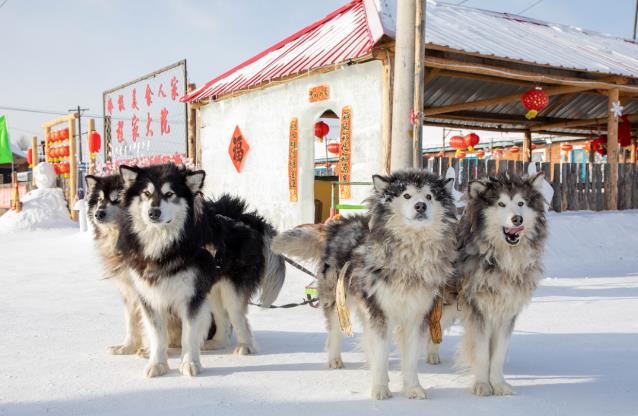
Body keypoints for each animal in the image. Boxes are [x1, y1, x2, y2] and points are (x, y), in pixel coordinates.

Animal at [117, 163, 284, 376]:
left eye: (169, 194)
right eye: (146, 193)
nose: (154, 212)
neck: (164, 246)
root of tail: (245, 218)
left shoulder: (192, 297)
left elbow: (188, 334)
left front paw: (190, 363)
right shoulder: (150, 296)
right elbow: (157, 335)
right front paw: (157, 365)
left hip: (229, 290)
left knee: (238, 316)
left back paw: (246, 346)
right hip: (210, 288)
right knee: (222, 317)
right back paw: (217, 343)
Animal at [272, 169, 458, 400]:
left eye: (429, 196)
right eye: (406, 195)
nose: (420, 206)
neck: (409, 253)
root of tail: (339, 224)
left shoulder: (415, 315)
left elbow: (409, 358)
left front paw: (412, 388)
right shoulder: (379, 311)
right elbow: (380, 352)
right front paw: (380, 388)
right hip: (337, 298)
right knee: (335, 330)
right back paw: (335, 359)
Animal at [428, 171, 548, 396]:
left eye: (521, 203)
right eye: (501, 204)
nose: (517, 219)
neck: (502, 259)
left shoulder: (506, 312)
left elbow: (498, 354)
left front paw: (499, 384)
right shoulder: (478, 311)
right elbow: (482, 353)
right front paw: (483, 385)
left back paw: (432, 354)